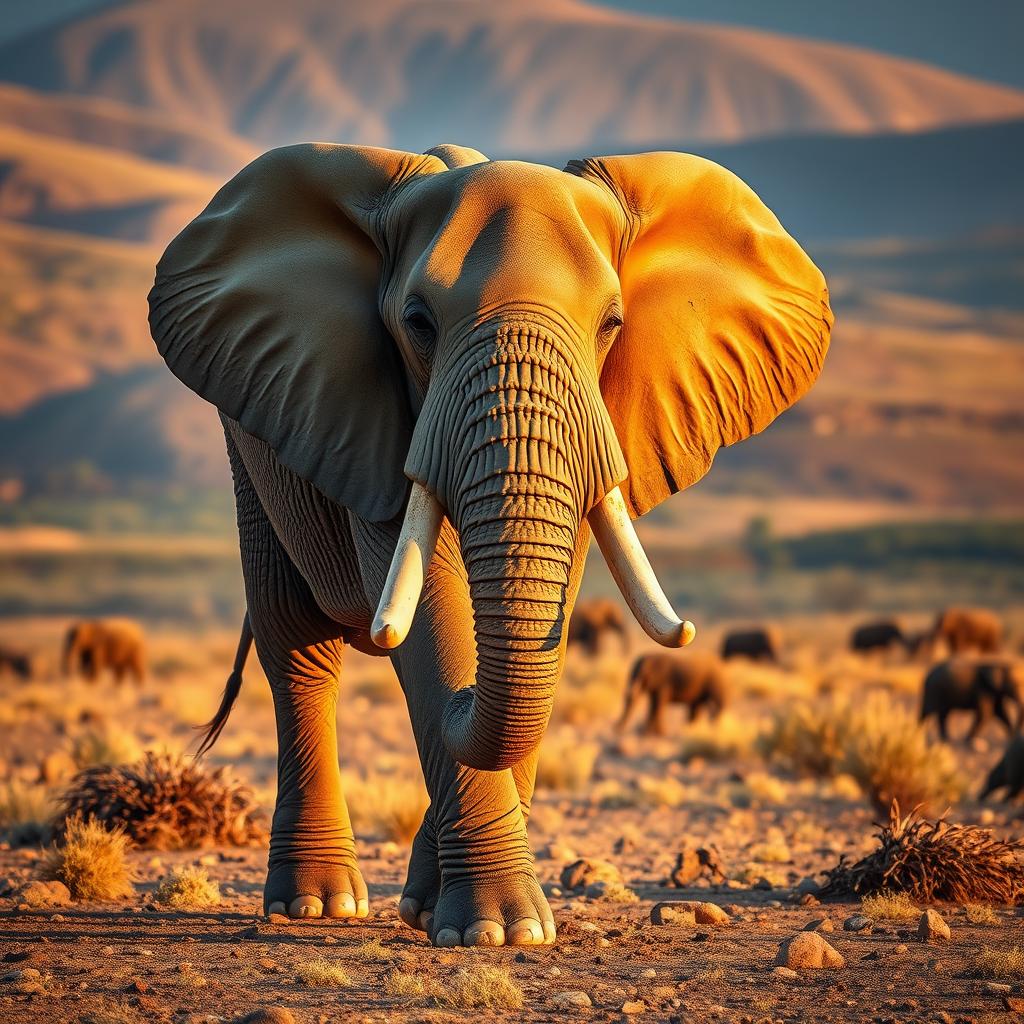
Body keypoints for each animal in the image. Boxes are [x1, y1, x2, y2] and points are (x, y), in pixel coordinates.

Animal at [148, 142, 831, 946]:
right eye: (417, 322)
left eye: (611, 324)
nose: (468, 695)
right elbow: (432, 613)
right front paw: (498, 930)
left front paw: (456, 916)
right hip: (252, 438)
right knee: (295, 641)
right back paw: (316, 905)